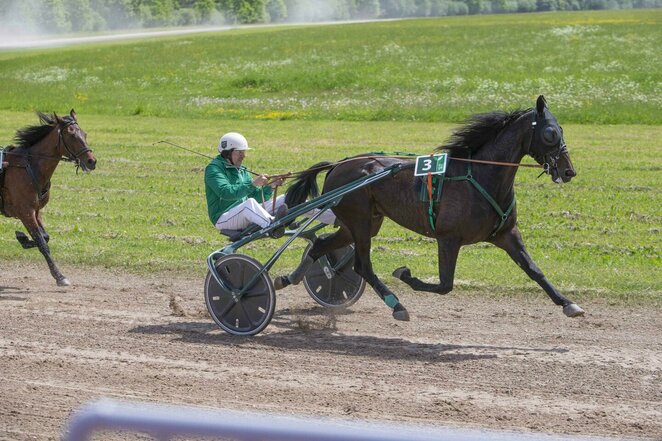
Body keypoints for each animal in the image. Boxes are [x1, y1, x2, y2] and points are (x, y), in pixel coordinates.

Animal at [0, 111, 97, 286]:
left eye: (84, 134)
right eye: (71, 135)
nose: (91, 161)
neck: (30, 167)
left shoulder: (36, 211)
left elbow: (45, 237)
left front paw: (23, 238)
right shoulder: (25, 212)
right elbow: (42, 243)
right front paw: (59, 276)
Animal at [276, 96, 588, 322]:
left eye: (561, 129)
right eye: (550, 133)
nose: (569, 171)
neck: (480, 176)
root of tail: (338, 164)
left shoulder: (506, 234)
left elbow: (535, 270)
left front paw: (569, 303)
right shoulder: (448, 239)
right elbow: (444, 285)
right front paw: (404, 274)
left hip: (361, 223)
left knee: (320, 244)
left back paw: (289, 277)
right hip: (360, 221)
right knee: (362, 265)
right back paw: (396, 305)